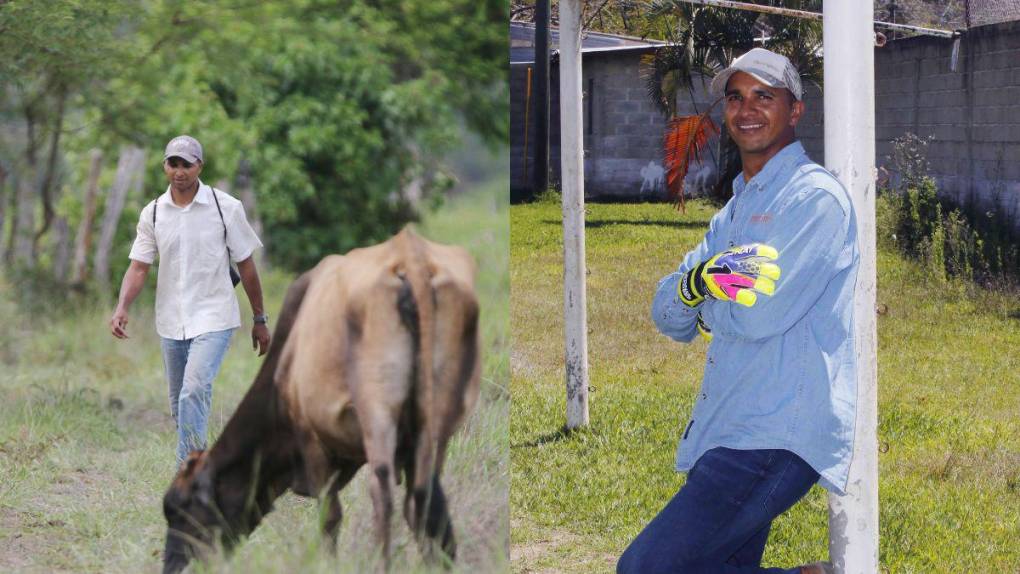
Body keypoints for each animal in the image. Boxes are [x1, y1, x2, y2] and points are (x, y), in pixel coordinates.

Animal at [161, 229, 479, 574]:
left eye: (181, 509)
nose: (172, 566)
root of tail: (411, 259)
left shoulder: (310, 438)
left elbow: (330, 517)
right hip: (438, 417)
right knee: (423, 499)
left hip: (377, 411)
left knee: (382, 494)